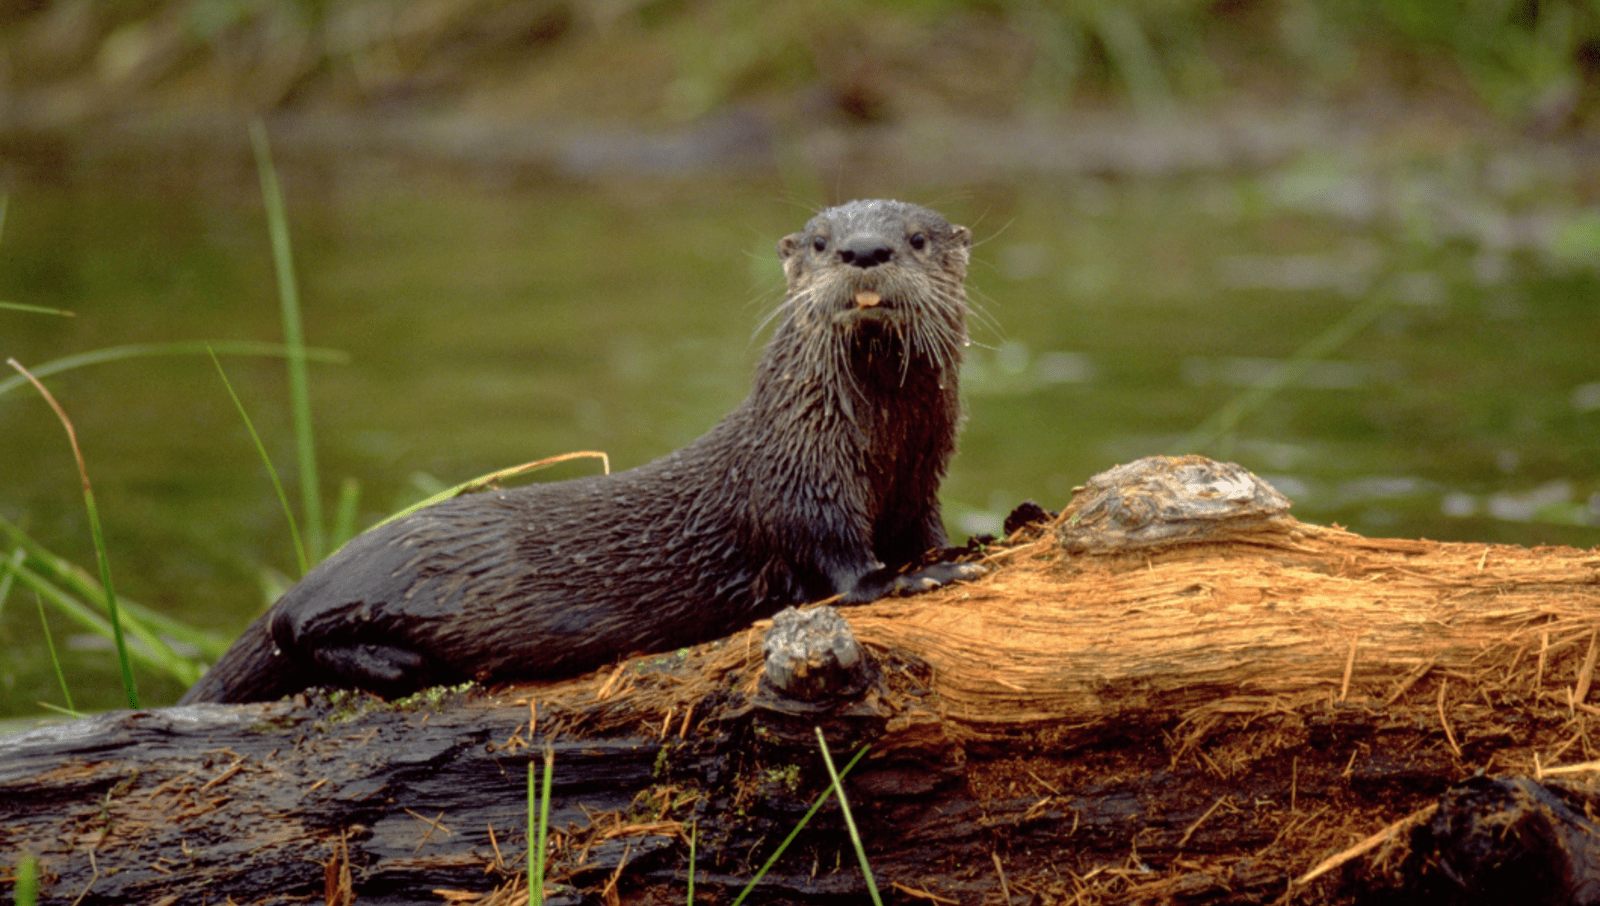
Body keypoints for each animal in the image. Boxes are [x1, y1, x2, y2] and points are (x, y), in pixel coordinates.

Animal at [175, 200, 972, 710]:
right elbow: (841, 563)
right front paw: (908, 579)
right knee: (292, 631)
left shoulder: (923, 474)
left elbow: (922, 526)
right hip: (363, 588)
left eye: (916, 237)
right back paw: (396, 662)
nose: (863, 251)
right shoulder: (799, 480)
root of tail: (311, 574)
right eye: (820, 242)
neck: (875, 439)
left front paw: (953, 552)